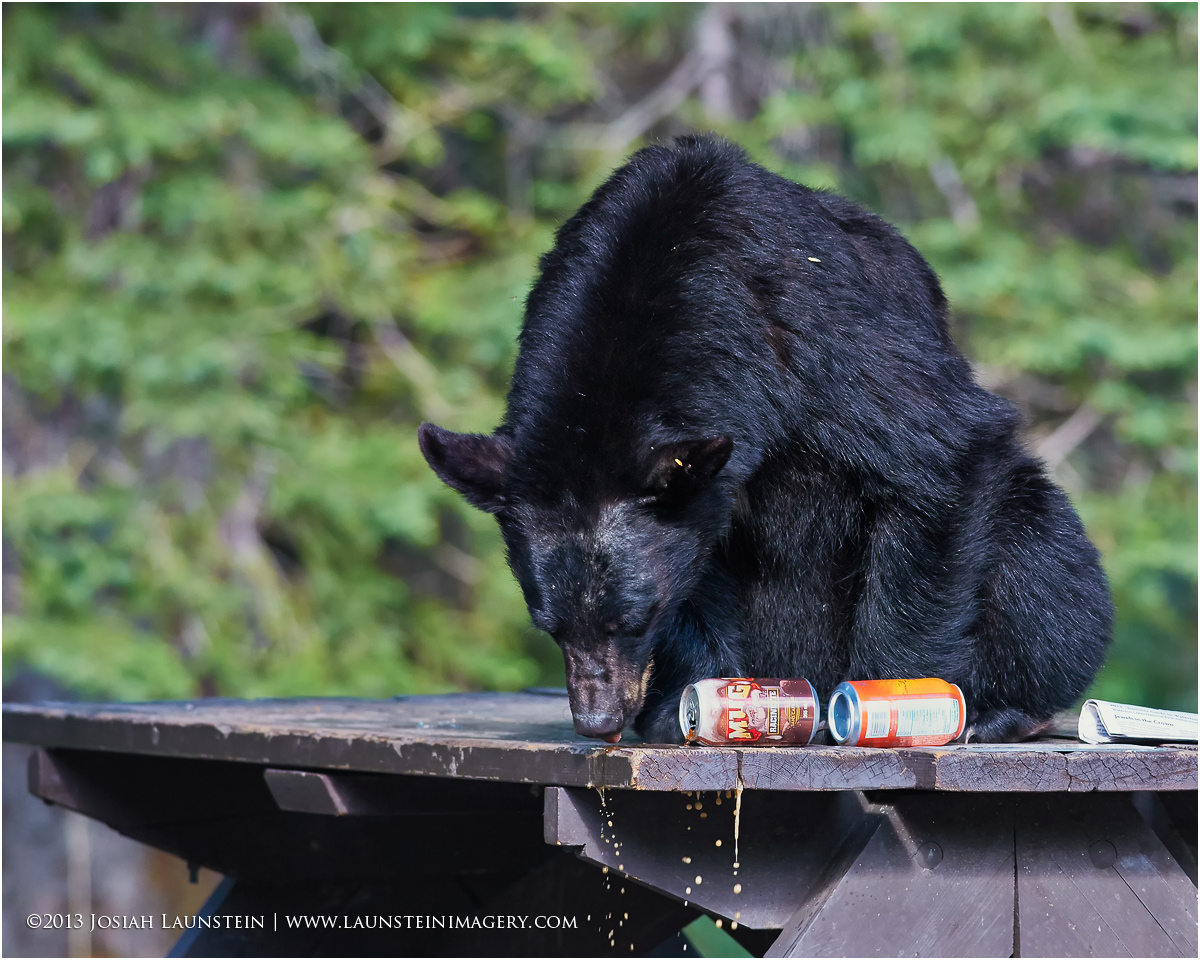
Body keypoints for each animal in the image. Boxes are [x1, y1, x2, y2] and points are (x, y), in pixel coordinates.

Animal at [418, 135, 1113, 745]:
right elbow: (703, 571)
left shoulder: (809, 328)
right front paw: (691, 706)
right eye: (550, 627)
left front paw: (894, 697)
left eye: (637, 617)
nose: (598, 719)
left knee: (1036, 547)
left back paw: (1006, 708)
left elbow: (942, 457)